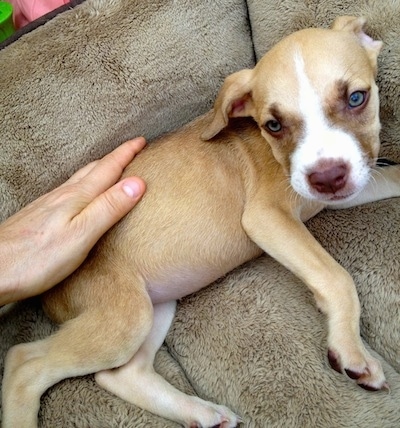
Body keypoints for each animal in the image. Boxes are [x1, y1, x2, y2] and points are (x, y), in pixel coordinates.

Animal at [3, 15, 400, 428]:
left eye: (356, 98)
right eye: (273, 125)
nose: (327, 177)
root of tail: (50, 291)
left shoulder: (347, 186)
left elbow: (388, 177)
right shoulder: (266, 217)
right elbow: (336, 276)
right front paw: (351, 350)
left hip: (154, 304)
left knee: (121, 375)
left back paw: (201, 411)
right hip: (123, 317)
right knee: (24, 363)